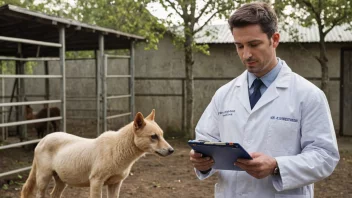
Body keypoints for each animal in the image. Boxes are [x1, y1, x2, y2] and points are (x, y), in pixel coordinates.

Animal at [20, 110, 173, 198]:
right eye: (153, 136)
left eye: (162, 135)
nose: (171, 150)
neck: (116, 150)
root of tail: (43, 139)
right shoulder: (96, 181)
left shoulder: (116, 183)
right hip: (43, 178)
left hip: (61, 180)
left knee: (54, 194)